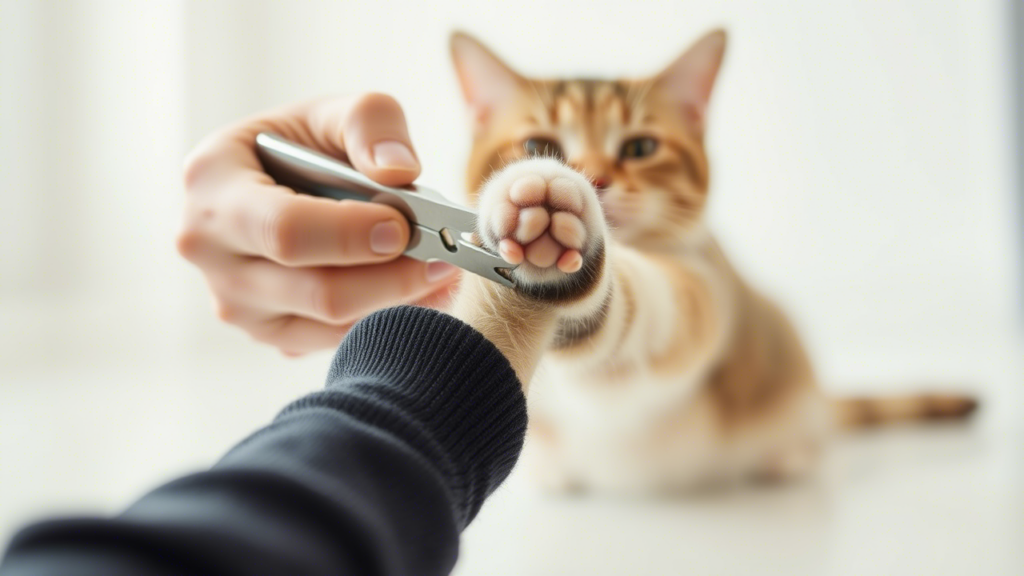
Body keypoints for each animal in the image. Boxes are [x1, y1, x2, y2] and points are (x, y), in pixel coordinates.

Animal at [448, 29, 974, 491]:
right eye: (539, 146)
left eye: (640, 147)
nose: (594, 178)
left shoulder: (702, 288)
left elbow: (641, 316)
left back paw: (788, 457)